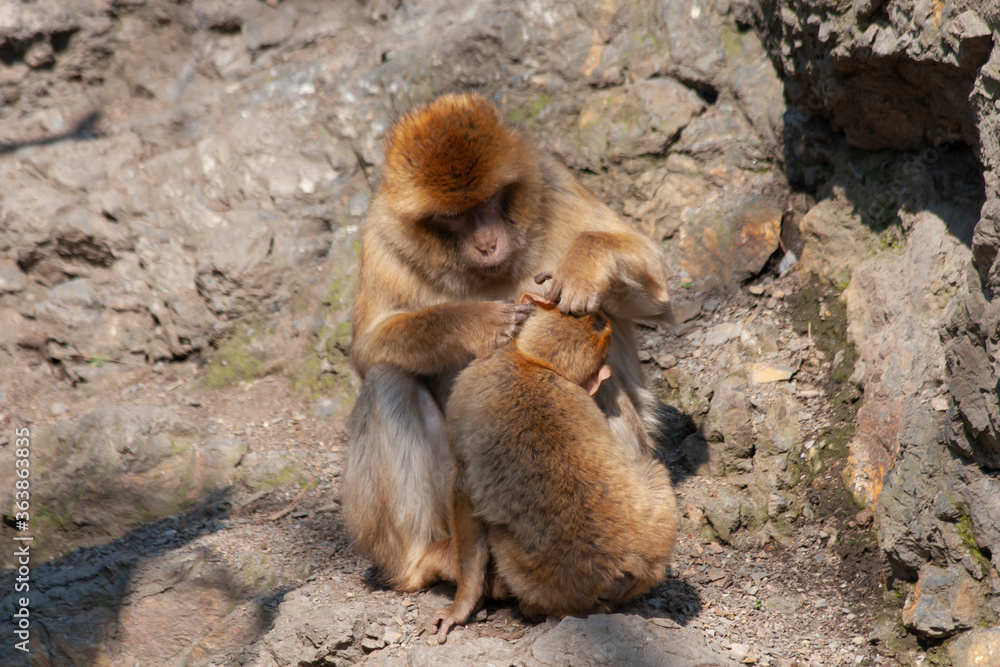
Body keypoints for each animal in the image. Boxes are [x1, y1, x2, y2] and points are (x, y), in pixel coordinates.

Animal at [342, 92, 672, 592]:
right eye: (454, 218)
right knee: (387, 379)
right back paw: (426, 561)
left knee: (602, 384)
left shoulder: (553, 184)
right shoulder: (382, 238)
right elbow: (367, 350)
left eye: (490, 203)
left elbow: (656, 296)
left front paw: (583, 263)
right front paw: (472, 323)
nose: (486, 243)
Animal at [426, 294, 678, 643]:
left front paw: (462, 604)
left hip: (535, 575)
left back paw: (533, 609)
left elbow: (463, 494)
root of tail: (622, 567)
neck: (530, 361)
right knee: (651, 471)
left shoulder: (464, 392)